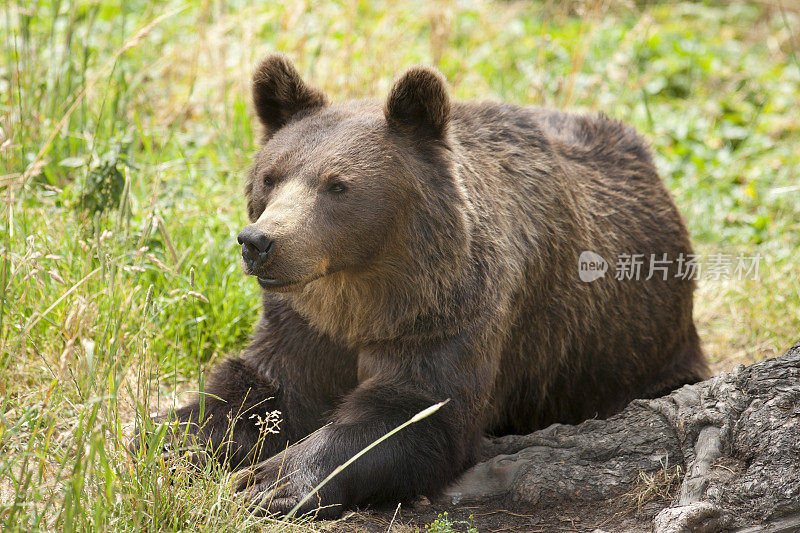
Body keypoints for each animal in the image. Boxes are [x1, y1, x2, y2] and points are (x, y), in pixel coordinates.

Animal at [166, 55, 708, 520]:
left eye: (337, 185)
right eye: (271, 176)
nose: (260, 242)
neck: (360, 294)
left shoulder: (451, 314)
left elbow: (415, 411)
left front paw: (268, 481)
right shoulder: (303, 324)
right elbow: (256, 391)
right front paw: (169, 441)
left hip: (634, 349)